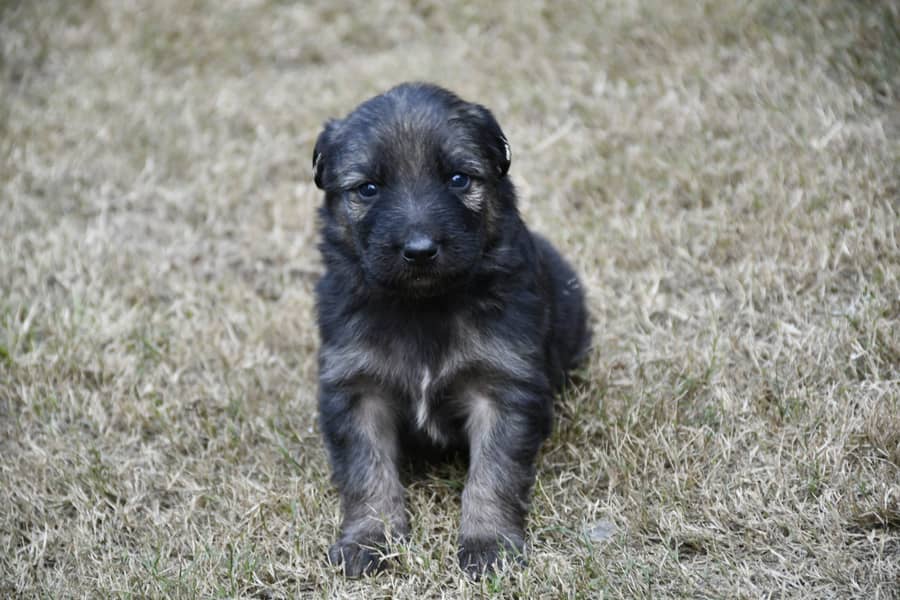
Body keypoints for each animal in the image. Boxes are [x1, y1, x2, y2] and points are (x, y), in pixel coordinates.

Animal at [312, 83, 592, 576]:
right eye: (368, 189)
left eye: (459, 179)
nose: (420, 250)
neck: (424, 307)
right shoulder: (356, 389)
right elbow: (368, 471)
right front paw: (369, 539)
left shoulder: (503, 387)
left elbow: (494, 473)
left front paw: (488, 543)